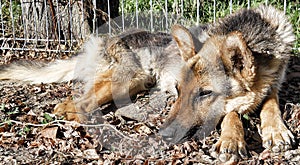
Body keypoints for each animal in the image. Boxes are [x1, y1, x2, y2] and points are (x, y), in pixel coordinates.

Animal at [0, 4, 296, 161]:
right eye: (178, 90)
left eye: (204, 93)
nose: (164, 134)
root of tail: (105, 40)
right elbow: (232, 113)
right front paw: (232, 138)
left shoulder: (275, 83)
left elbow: (271, 102)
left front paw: (276, 130)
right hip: (130, 79)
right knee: (78, 103)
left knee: (70, 103)